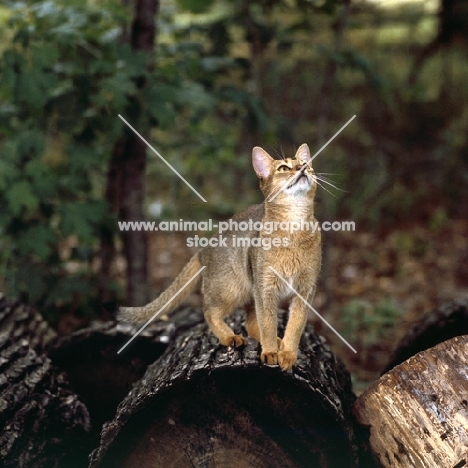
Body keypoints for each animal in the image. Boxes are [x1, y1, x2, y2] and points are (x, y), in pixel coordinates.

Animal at [117, 144, 322, 372]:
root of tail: (203, 250)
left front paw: (287, 354)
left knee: (250, 323)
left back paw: (276, 342)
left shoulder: (306, 288)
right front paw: (270, 353)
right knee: (209, 311)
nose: (303, 168)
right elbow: (268, 323)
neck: (294, 225)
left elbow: (296, 324)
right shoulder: (265, 287)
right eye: (283, 168)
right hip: (232, 289)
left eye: (305, 164)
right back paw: (231, 337)